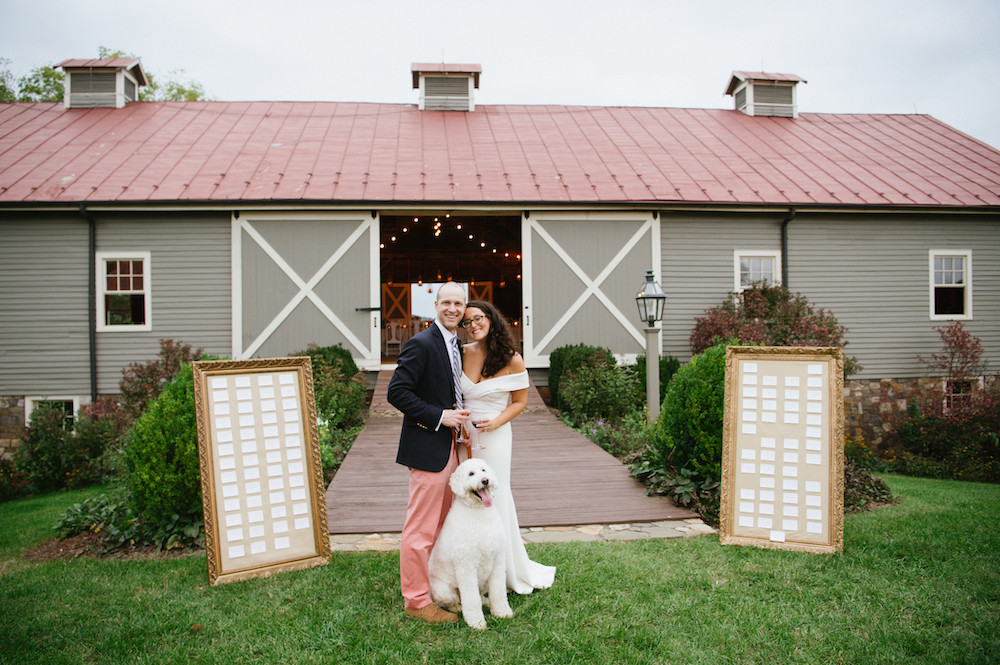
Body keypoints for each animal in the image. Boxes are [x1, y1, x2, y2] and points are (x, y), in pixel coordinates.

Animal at [428, 456, 512, 628]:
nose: (485, 480)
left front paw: (502, 612)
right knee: (453, 601)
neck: (478, 512)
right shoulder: (466, 566)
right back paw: (458, 608)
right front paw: (477, 623)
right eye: (471, 473)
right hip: (443, 591)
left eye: (483, 470)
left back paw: (486, 602)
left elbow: (498, 592)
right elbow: (472, 599)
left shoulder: (498, 560)